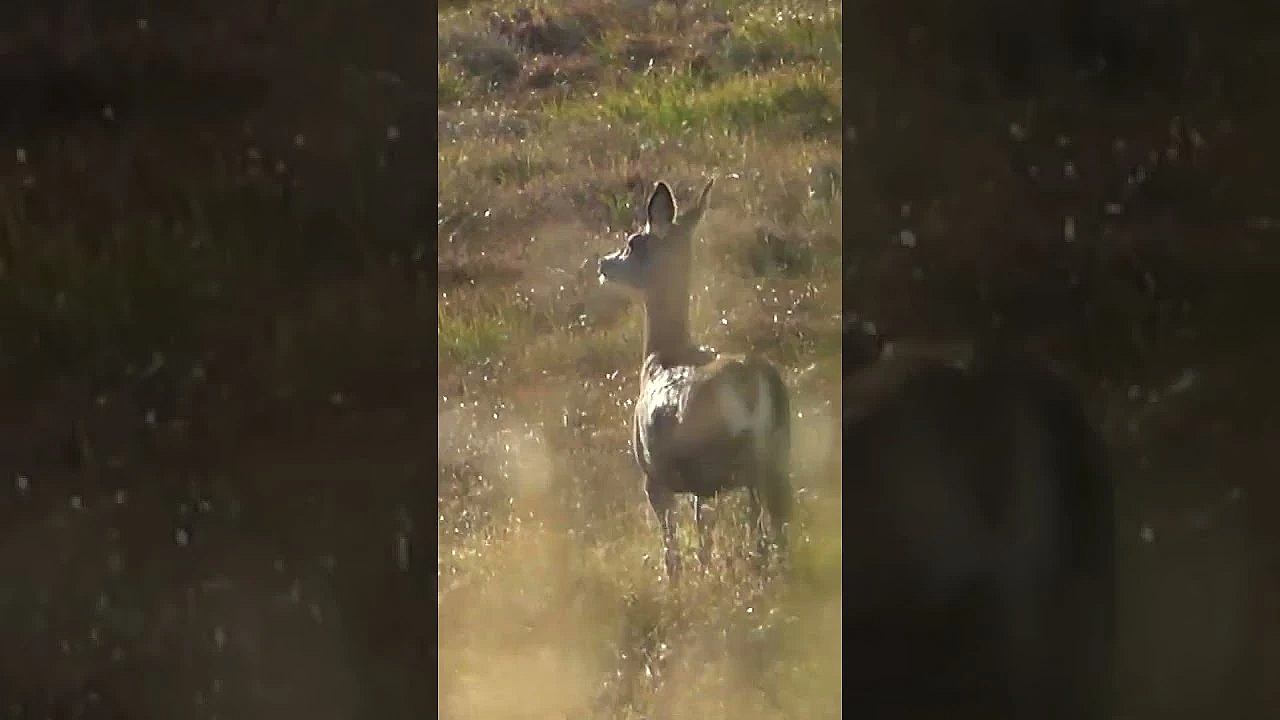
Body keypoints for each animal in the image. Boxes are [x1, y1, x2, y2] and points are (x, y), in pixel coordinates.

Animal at [595, 178, 792, 582]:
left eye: (634, 242)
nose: (604, 263)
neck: (661, 356)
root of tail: (755, 384)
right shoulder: (700, 485)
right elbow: (704, 534)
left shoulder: (653, 475)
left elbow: (673, 543)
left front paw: (676, 585)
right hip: (777, 451)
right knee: (774, 523)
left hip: (732, 459)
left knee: (757, 526)